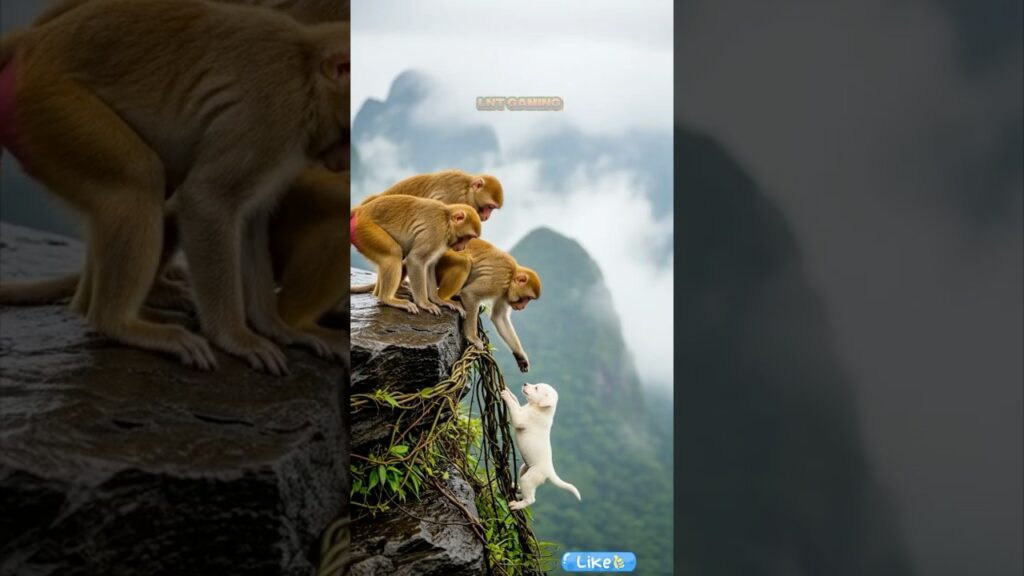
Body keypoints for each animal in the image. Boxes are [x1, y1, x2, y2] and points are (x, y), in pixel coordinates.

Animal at [0, 0, 349, 373]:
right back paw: (120, 323)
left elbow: (251, 217)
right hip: (48, 103)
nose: (342, 162)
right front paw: (235, 337)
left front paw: (278, 327)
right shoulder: (273, 115)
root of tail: (30, 41)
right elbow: (207, 200)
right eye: (347, 131)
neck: (306, 71)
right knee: (138, 180)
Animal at [350, 196, 481, 315]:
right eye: (467, 237)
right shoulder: (436, 231)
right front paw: (425, 303)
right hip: (365, 229)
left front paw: (438, 300)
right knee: (393, 253)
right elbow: (416, 260)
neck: (446, 219)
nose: (464, 247)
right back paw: (387, 299)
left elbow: (429, 265)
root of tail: (361, 209)